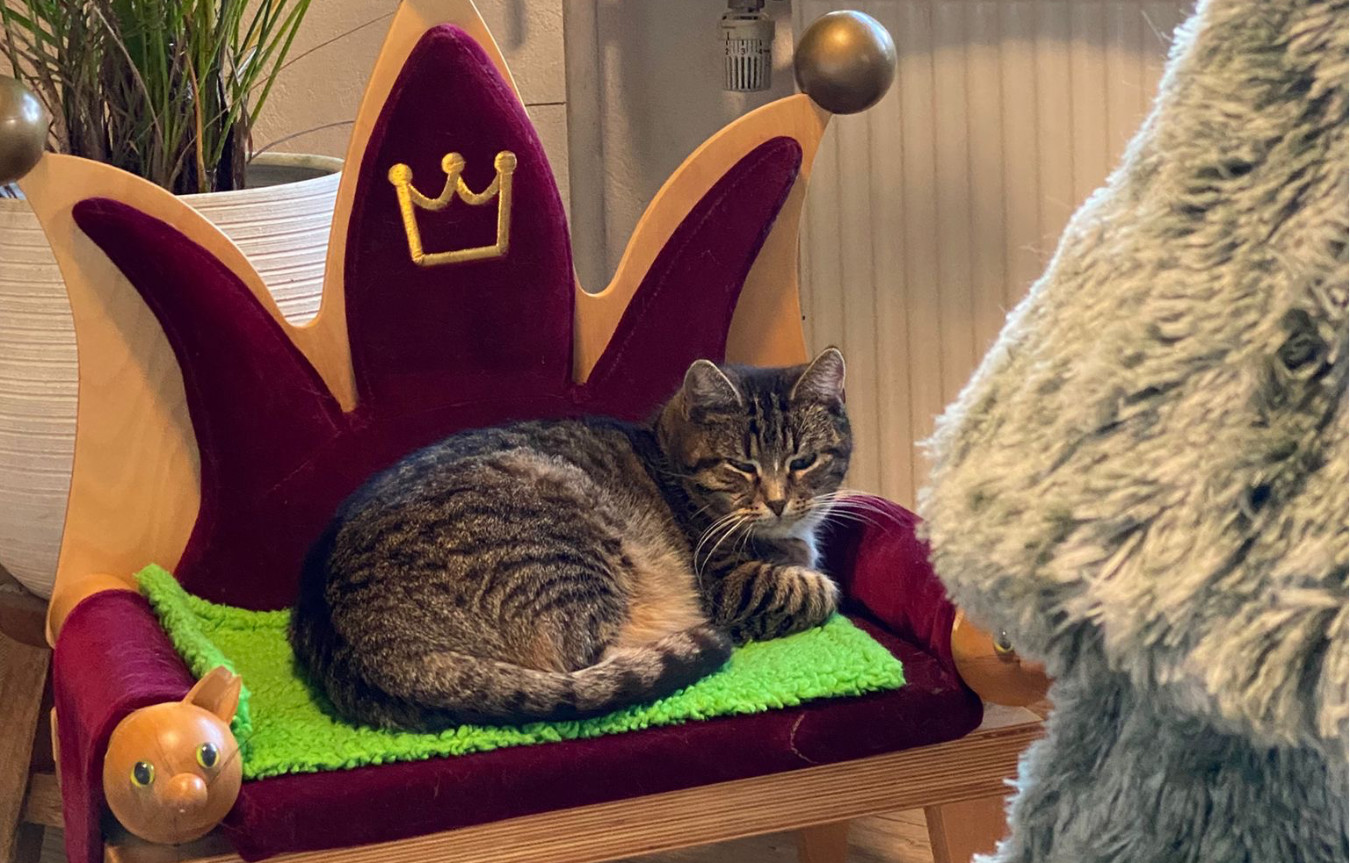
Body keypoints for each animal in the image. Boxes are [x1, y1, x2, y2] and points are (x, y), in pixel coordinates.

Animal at [290, 348, 853, 731]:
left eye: (803, 461)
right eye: (741, 466)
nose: (778, 501)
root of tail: (346, 636)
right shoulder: (727, 586)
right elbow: (815, 590)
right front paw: (812, 578)